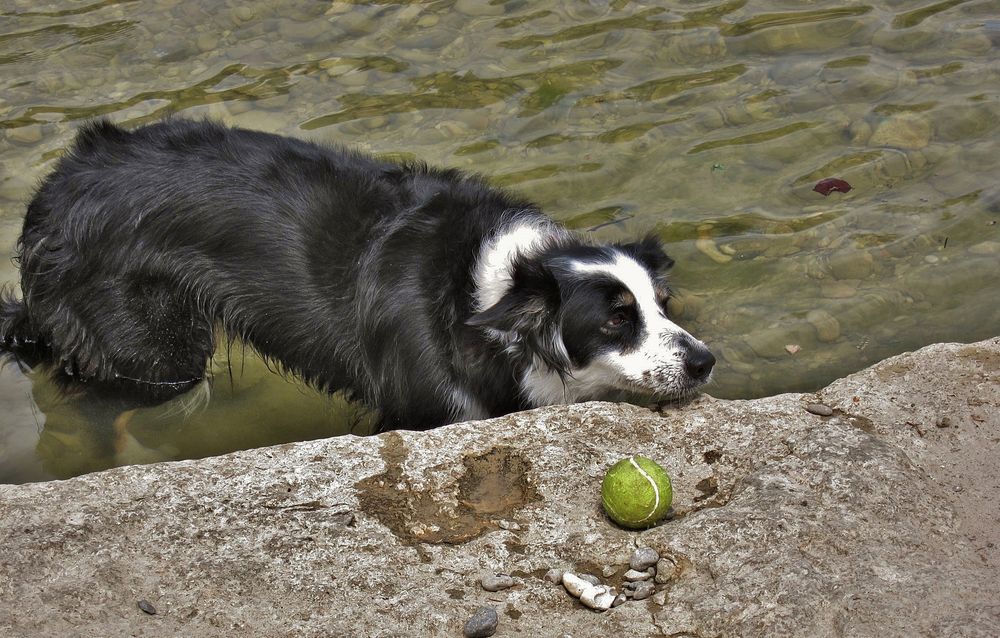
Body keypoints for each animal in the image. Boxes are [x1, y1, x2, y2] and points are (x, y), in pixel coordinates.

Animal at [0, 118, 712, 432]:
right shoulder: (419, 411)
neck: (489, 293)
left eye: (664, 304)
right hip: (155, 354)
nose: (706, 361)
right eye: (617, 319)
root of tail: (54, 190)